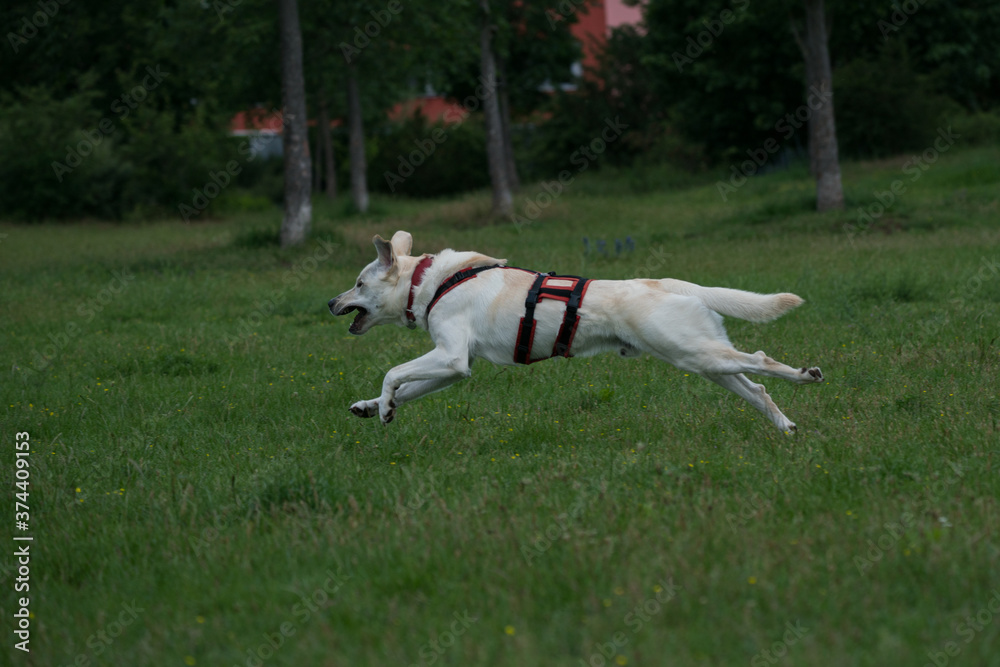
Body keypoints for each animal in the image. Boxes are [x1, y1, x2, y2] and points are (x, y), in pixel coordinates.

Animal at [328, 232, 820, 434]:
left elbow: (393, 373)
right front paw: (372, 407)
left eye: (358, 283)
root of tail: (672, 283)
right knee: (756, 388)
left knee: (761, 361)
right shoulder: (454, 367)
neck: (426, 282)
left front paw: (383, 408)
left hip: (695, 353)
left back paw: (805, 376)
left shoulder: (450, 358)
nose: (330, 303)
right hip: (703, 359)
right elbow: (406, 388)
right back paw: (786, 427)